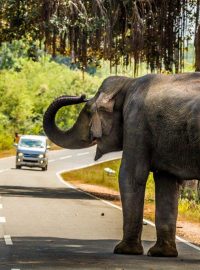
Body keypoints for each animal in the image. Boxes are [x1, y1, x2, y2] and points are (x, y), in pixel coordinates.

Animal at [43, 72, 200, 258]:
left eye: (88, 110)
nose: (81, 95)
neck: (127, 83)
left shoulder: (136, 123)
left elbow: (131, 176)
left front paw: (124, 250)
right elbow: (166, 181)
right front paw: (161, 253)